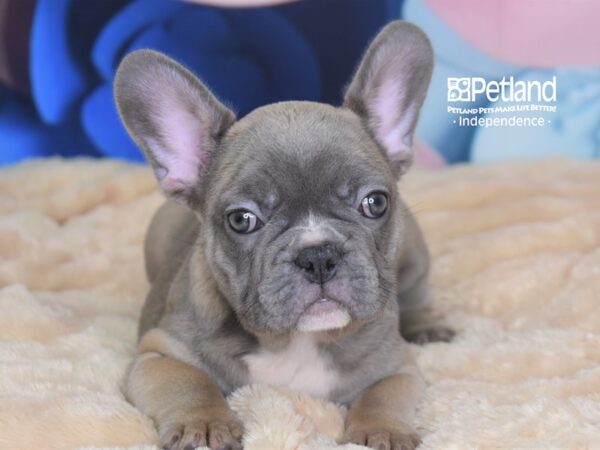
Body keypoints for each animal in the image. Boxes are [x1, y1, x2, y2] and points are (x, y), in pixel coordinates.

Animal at [115, 20, 442, 450]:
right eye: (242, 220)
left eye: (375, 202)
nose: (318, 255)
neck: (297, 343)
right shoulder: (158, 355)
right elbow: (190, 382)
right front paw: (202, 423)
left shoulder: (398, 365)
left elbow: (382, 393)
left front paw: (381, 430)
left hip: (415, 251)